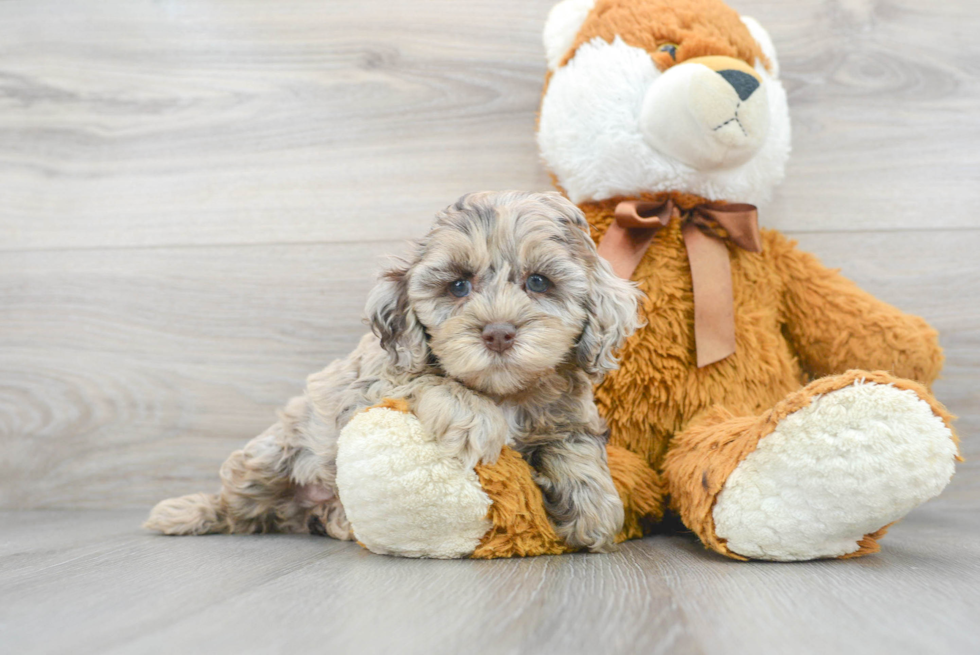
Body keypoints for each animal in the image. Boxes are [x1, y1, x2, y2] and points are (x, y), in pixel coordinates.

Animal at [142, 190, 640, 552]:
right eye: (458, 285)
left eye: (539, 282)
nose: (498, 333)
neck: (503, 392)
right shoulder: (373, 384)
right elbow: (426, 378)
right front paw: (474, 419)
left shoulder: (569, 414)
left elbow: (575, 448)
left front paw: (595, 511)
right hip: (267, 459)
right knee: (237, 506)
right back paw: (185, 512)